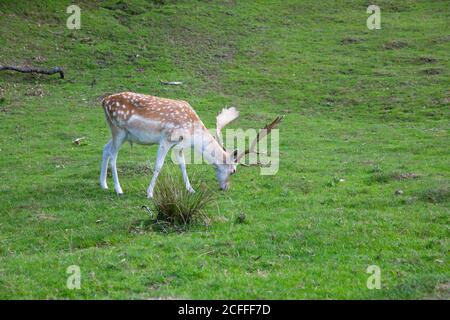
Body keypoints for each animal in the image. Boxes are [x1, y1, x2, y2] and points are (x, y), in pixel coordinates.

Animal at [100, 92, 282, 198]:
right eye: (233, 171)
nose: (226, 187)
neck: (193, 132)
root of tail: (103, 101)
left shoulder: (179, 144)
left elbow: (182, 164)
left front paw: (190, 189)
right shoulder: (166, 139)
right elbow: (158, 165)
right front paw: (149, 193)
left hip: (122, 134)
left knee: (105, 148)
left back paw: (103, 184)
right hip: (118, 129)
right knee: (113, 156)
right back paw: (118, 189)